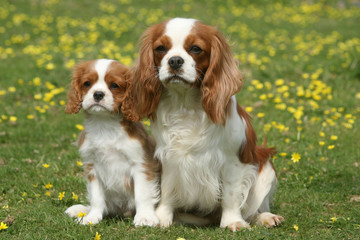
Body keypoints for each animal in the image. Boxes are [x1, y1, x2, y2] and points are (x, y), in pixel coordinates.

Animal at [64, 58, 160, 227]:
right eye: (87, 83)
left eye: (114, 85)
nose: (98, 94)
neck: (104, 124)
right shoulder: (92, 167)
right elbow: (96, 197)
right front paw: (91, 217)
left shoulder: (141, 164)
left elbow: (142, 194)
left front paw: (145, 217)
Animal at [126, 17, 284, 232]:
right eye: (160, 48)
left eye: (195, 48)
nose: (175, 60)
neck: (185, 103)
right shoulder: (169, 156)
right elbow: (167, 190)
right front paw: (161, 217)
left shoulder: (233, 161)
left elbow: (232, 195)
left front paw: (233, 221)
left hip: (265, 167)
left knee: (252, 209)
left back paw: (264, 217)